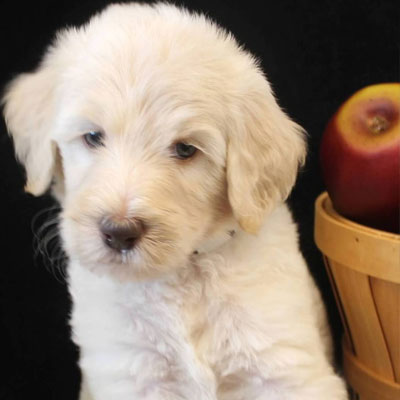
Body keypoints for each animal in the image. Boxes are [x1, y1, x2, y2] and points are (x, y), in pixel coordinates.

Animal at [2, 3, 346, 400]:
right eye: (92, 136)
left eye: (185, 149)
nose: (118, 232)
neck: (181, 276)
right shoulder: (130, 372)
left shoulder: (286, 367)